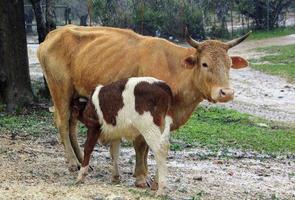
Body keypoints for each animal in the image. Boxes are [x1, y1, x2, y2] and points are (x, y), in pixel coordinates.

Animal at [36, 25, 250, 188]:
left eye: (229, 64)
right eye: (204, 64)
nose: (226, 92)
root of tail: (55, 33)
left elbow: (153, 146)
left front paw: (151, 177)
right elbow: (141, 145)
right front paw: (141, 177)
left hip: (76, 96)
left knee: (72, 124)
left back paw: (81, 159)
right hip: (60, 91)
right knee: (62, 123)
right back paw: (73, 163)